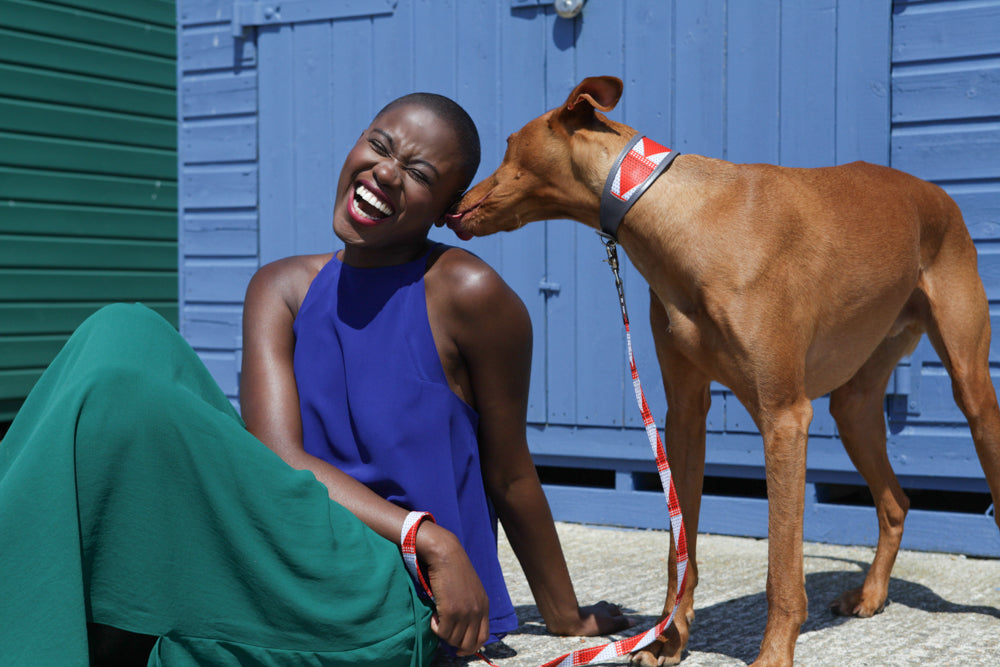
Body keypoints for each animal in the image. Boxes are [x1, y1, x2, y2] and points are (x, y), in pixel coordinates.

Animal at [450, 75, 1000, 664]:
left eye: (509, 145)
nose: (455, 205)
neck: (682, 217)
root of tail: (936, 193)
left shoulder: (784, 417)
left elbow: (782, 567)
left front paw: (773, 652)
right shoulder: (685, 415)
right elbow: (679, 550)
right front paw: (668, 639)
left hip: (971, 387)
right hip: (853, 407)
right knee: (895, 500)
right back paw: (871, 595)